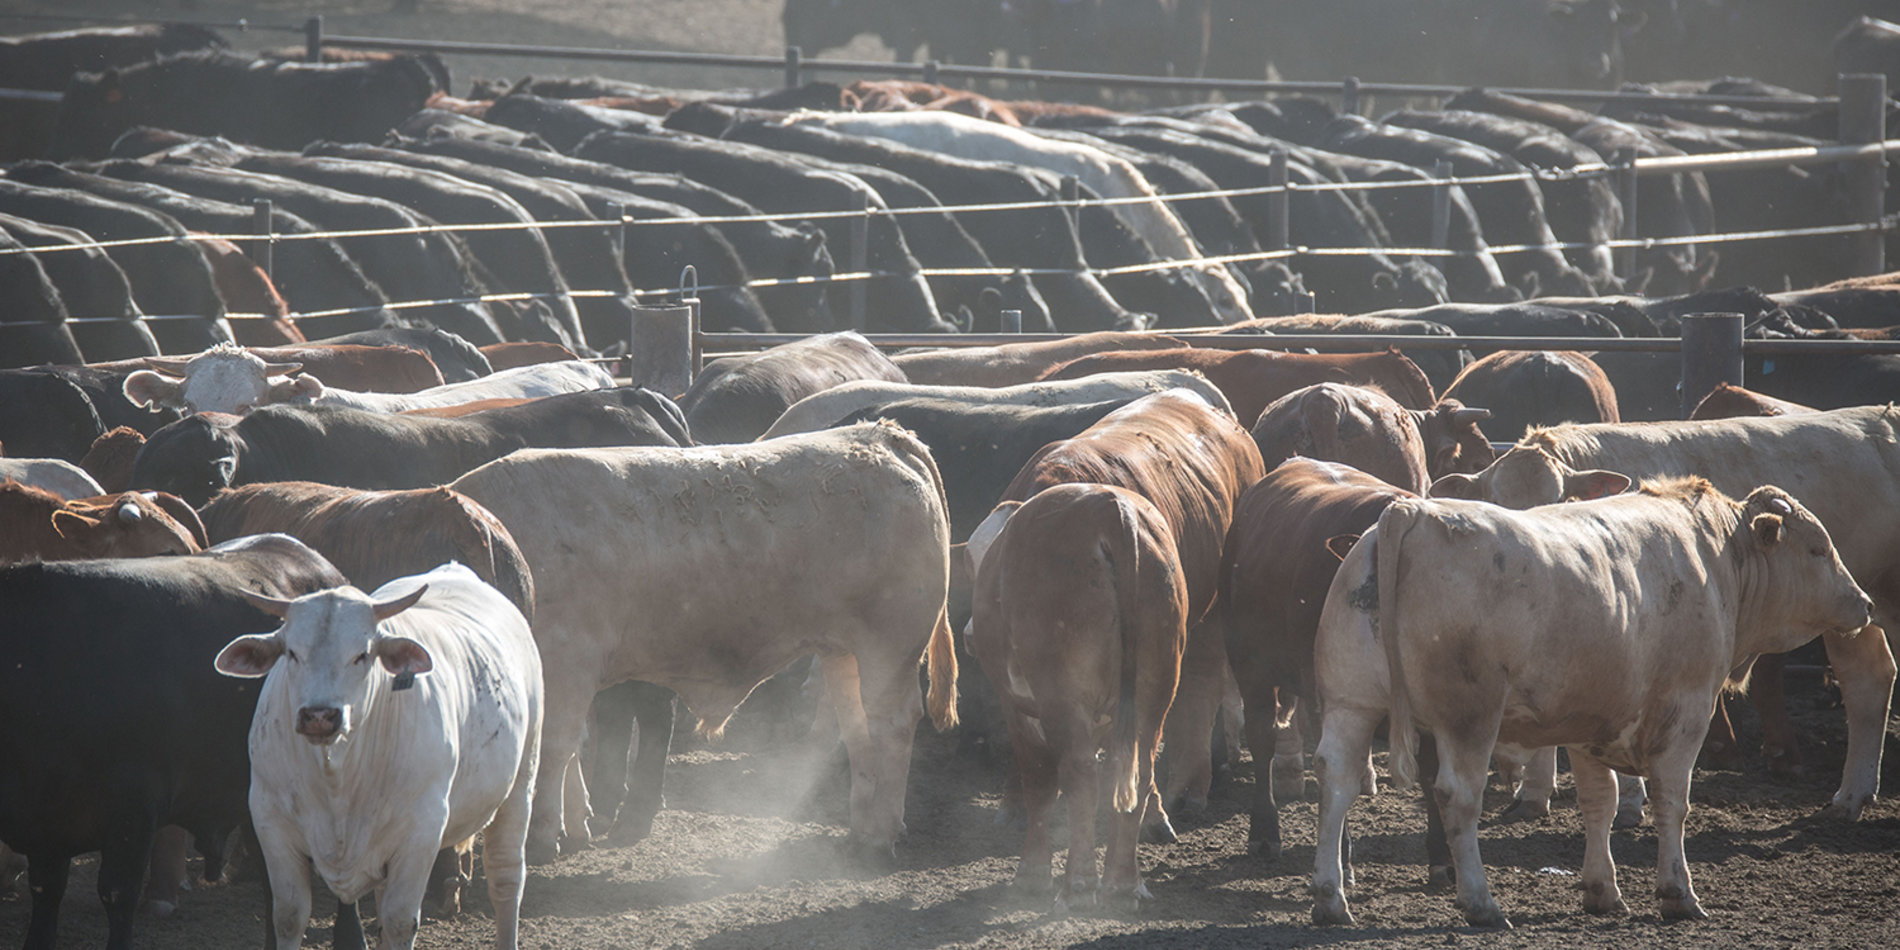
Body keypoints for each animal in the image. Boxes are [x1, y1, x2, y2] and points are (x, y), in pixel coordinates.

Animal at [214, 564, 542, 950]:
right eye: (292, 652)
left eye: (362, 654)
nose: (319, 715)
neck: (337, 775)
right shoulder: (270, 820)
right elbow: (289, 916)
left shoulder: (421, 832)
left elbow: (400, 921)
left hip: (520, 785)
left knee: (506, 879)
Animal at [449, 422, 959, 863]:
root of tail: (882, 434)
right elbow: (569, 751)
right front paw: (576, 824)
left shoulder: (568, 660)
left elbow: (553, 749)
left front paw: (542, 838)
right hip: (844, 651)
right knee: (856, 726)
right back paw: (861, 829)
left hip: (889, 646)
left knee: (891, 722)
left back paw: (878, 836)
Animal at [964, 483, 1188, 910]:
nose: (967, 635)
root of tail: (1109, 508)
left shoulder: (1018, 708)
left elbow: (1038, 781)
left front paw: (1031, 876)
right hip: (1156, 689)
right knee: (1135, 770)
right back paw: (1123, 884)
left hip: (1060, 692)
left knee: (1080, 774)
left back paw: (1079, 886)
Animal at [1310, 480, 1870, 927]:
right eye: (1818, 549)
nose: (1863, 603)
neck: (1717, 559)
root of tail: (1412, 513)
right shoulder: (1686, 710)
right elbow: (1673, 801)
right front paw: (1677, 893)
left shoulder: (1587, 721)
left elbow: (1599, 803)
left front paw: (1603, 890)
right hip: (1469, 717)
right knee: (1457, 796)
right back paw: (1481, 903)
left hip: (1349, 703)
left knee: (1336, 781)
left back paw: (1330, 898)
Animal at [1425, 408, 1900, 822]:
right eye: (1495, 500)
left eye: (1557, 497)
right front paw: (1533, 794)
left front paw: (1629, 803)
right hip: (1851, 618)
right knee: (1869, 679)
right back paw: (1852, 795)